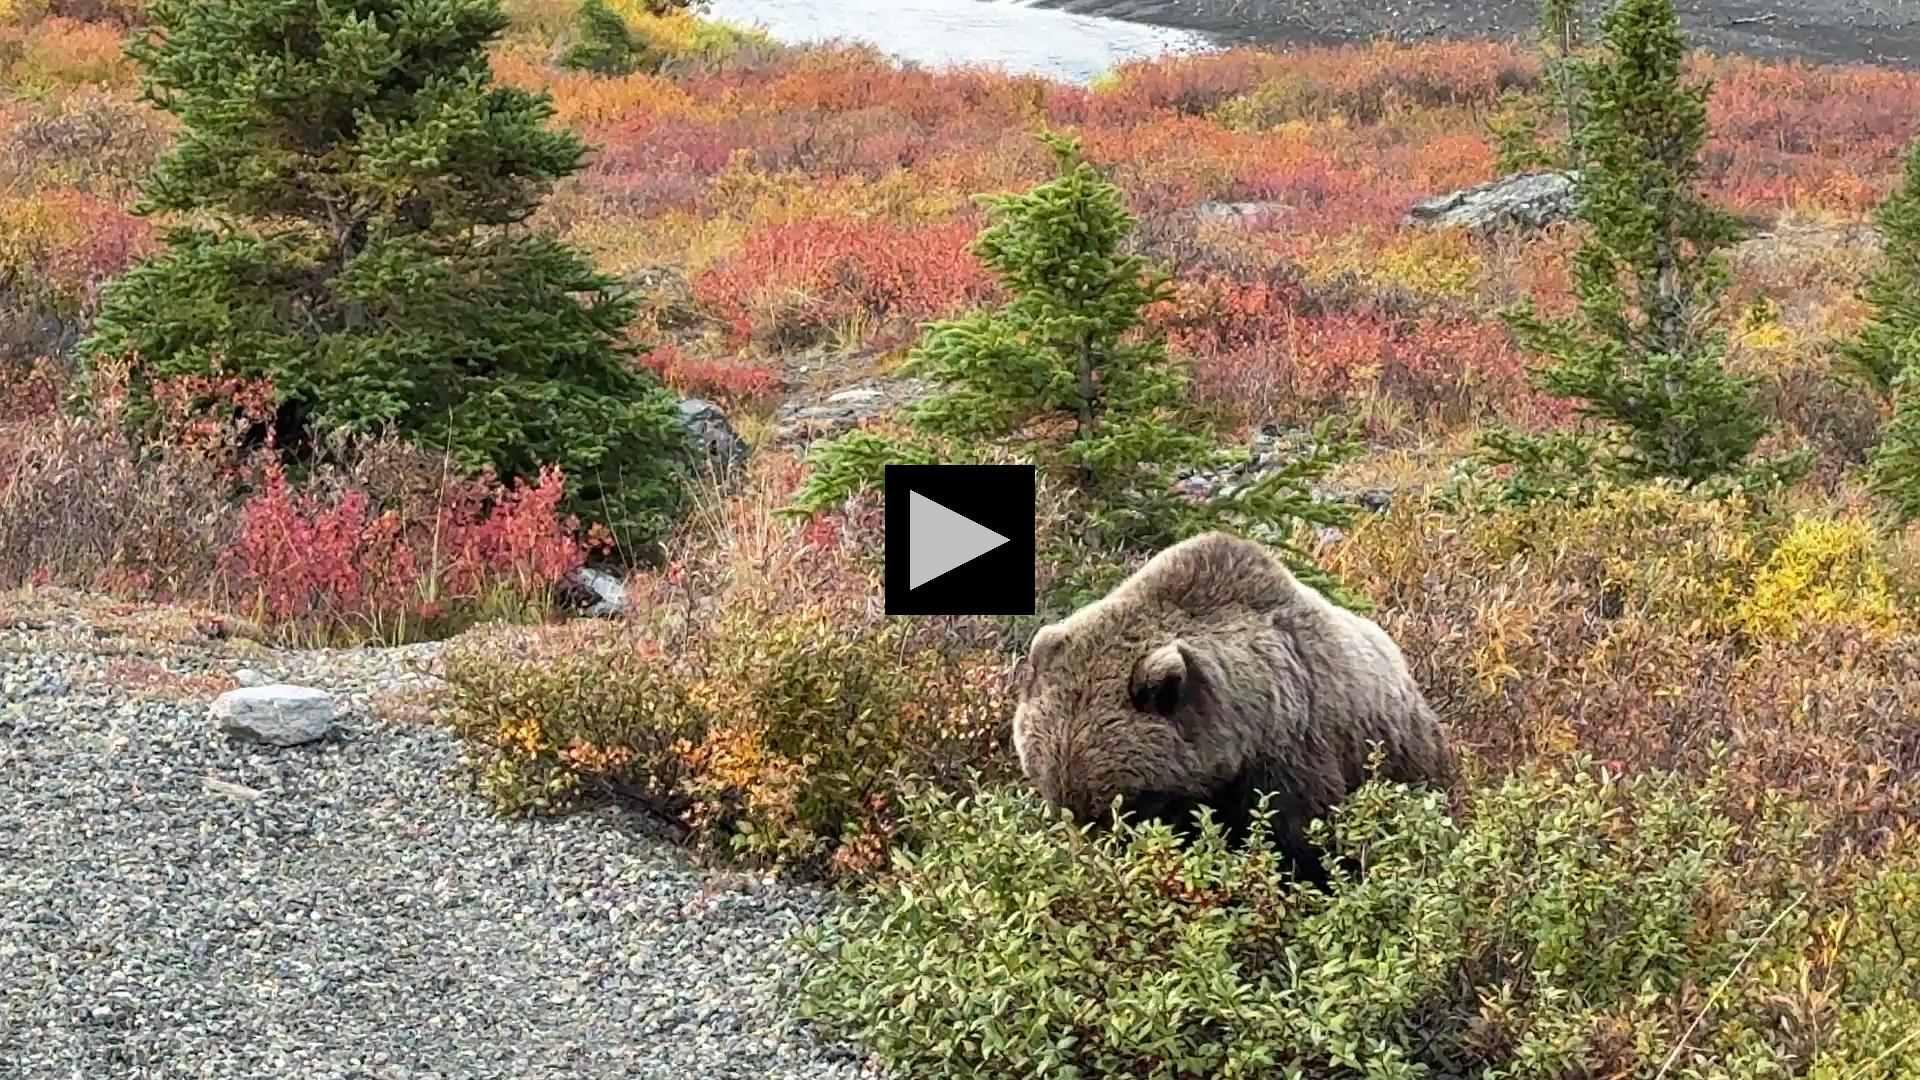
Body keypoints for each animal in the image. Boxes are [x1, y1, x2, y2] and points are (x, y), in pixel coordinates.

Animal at [1009, 530, 1451, 886]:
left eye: (1120, 806)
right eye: (1061, 806)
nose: (1090, 866)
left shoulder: (1289, 756)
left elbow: (1301, 844)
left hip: (1401, 756)